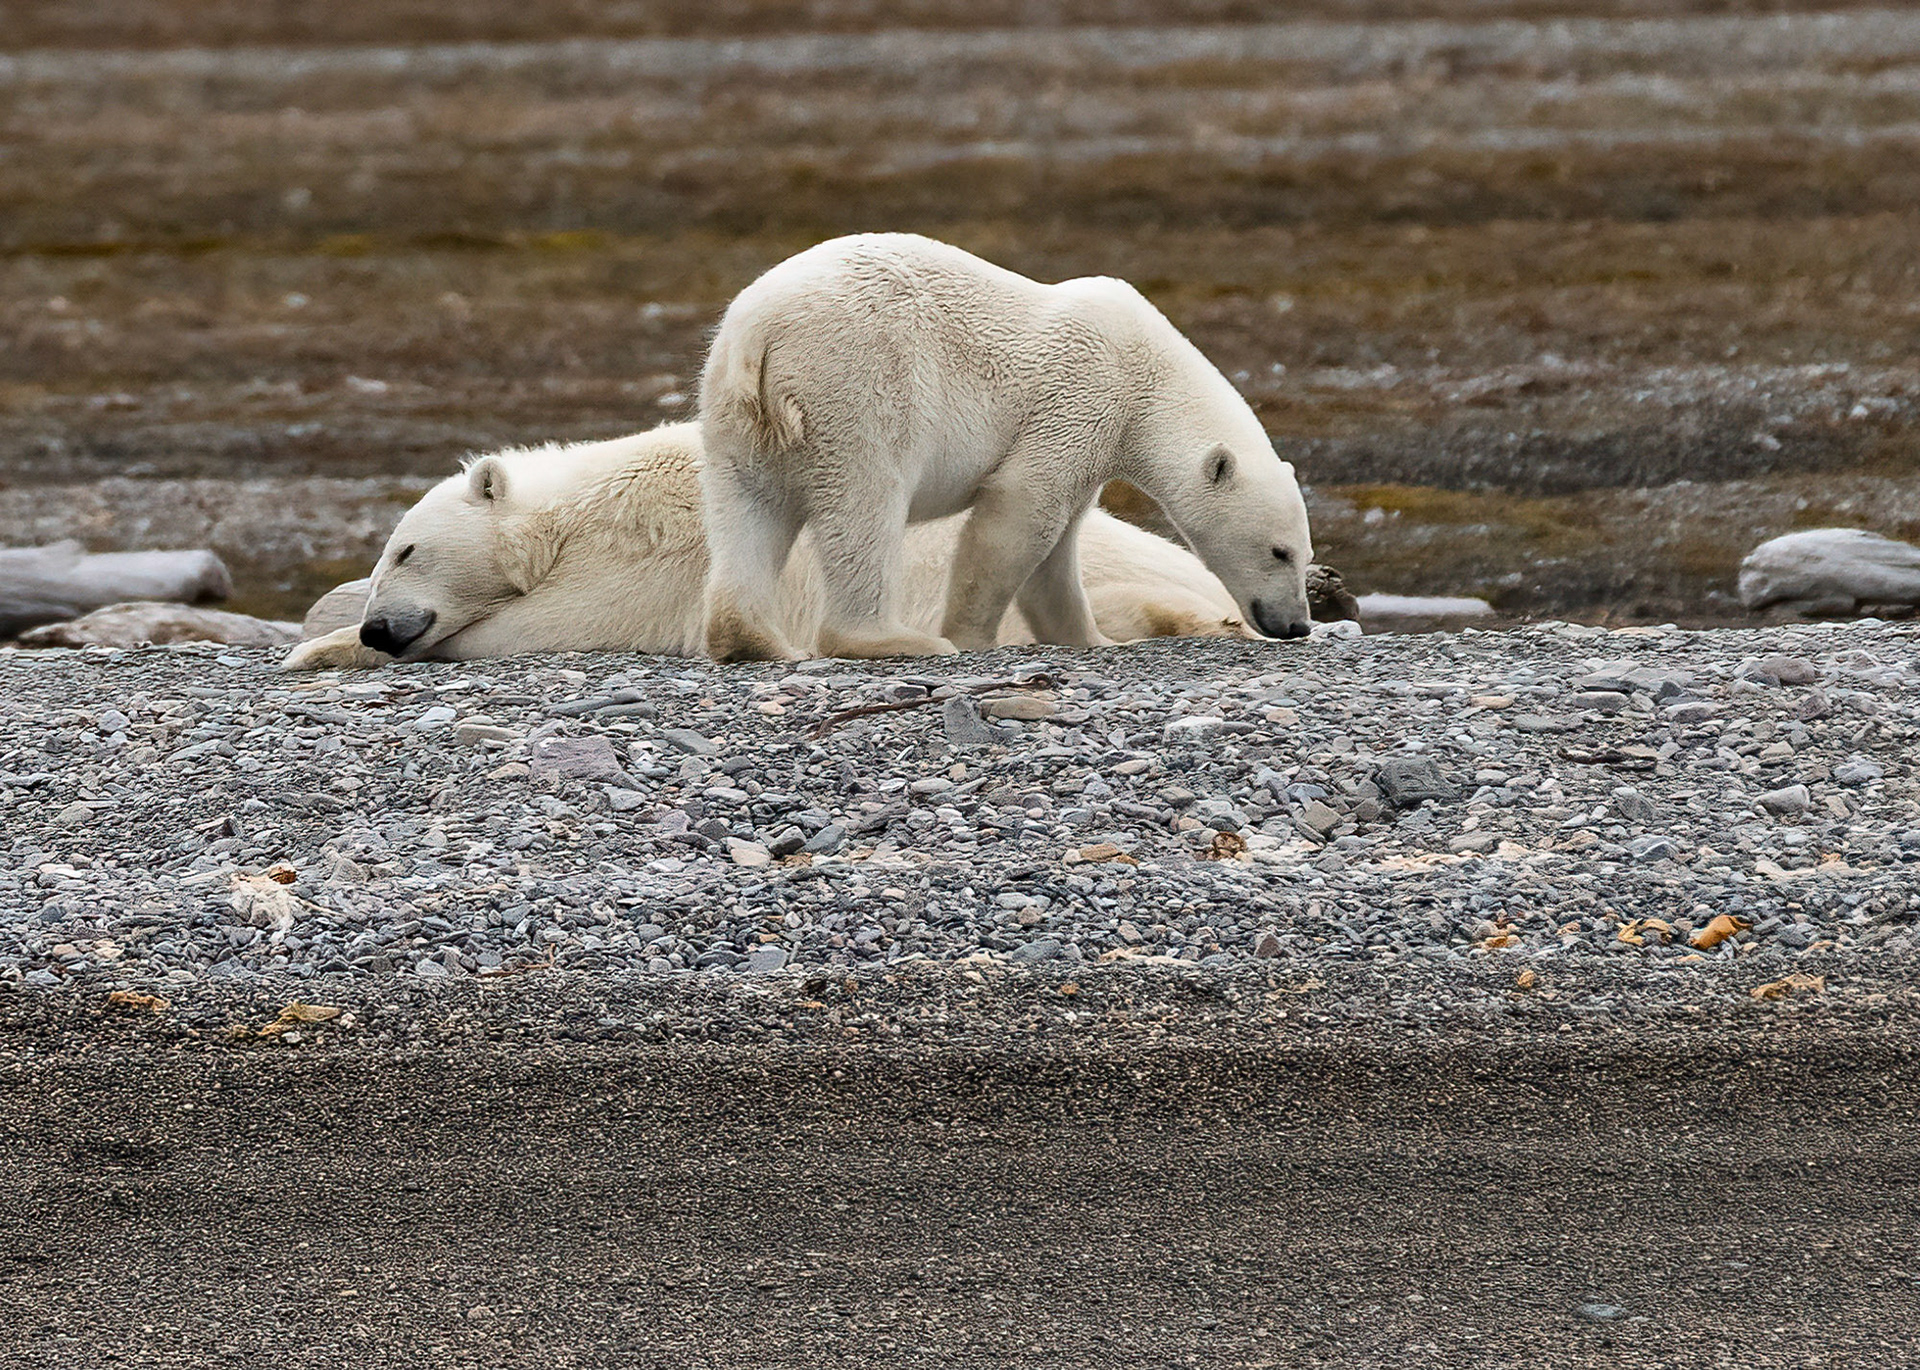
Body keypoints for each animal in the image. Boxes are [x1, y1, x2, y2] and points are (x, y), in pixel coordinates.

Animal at [698, 232, 1314, 662]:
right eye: (1279, 551)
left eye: (1305, 555)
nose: (1297, 625)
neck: (1146, 375)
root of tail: (758, 334)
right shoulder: (1079, 399)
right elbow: (1019, 517)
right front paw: (970, 636)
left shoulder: (1092, 441)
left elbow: (1057, 555)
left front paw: (1095, 639)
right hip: (855, 385)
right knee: (865, 504)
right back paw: (894, 639)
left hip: (735, 416)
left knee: (746, 509)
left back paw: (755, 640)